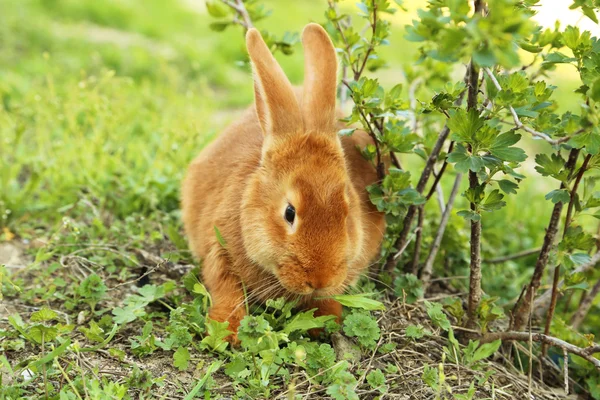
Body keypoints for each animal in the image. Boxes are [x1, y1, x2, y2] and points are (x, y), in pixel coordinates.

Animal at [182, 22, 384, 340]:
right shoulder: (219, 250)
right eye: (290, 212)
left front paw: (326, 319)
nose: (320, 278)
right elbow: (226, 289)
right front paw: (226, 332)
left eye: (347, 212)